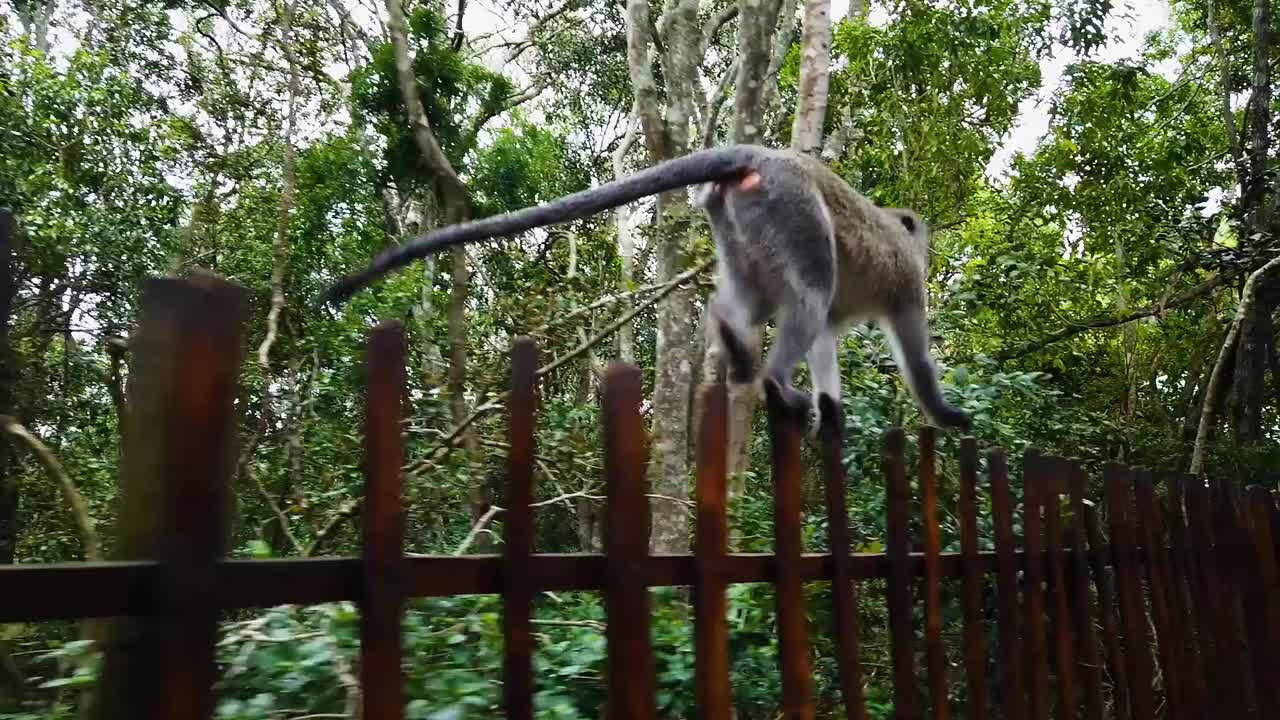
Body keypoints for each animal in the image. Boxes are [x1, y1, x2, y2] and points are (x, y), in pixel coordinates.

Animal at [321, 144, 971, 432]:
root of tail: (762, 159)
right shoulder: (908, 282)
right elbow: (908, 349)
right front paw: (946, 413)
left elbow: (828, 340)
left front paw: (834, 410)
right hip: (793, 211)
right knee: (808, 292)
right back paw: (773, 380)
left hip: (738, 218)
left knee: (756, 300)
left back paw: (733, 340)